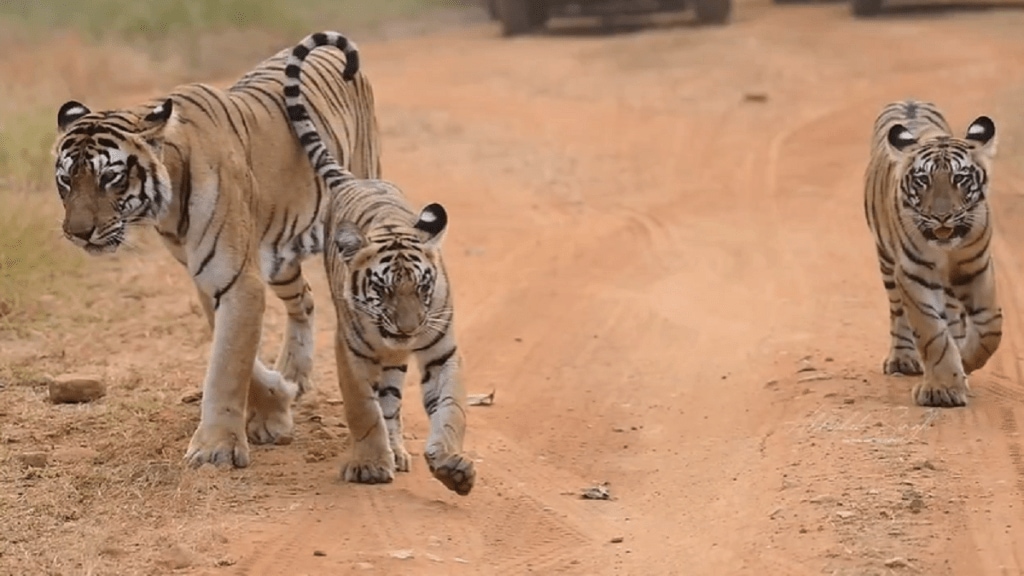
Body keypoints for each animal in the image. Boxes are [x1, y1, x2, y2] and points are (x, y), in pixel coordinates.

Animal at [51, 31, 380, 467]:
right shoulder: (213, 277)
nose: (78, 232)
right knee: (305, 301)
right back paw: (295, 373)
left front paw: (216, 448)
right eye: (65, 181)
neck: (167, 206)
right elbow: (241, 359)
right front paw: (275, 403)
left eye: (110, 177)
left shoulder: (236, 279)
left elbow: (227, 365)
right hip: (280, 256)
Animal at [284, 38, 475, 494]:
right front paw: (371, 465)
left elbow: (451, 409)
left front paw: (452, 466)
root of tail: (356, 179)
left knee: (391, 399)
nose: (408, 329)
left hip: (396, 358)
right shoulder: (349, 350)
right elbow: (362, 409)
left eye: (422, 288)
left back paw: (401, 451)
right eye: (383, 290)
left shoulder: (443, 351)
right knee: (381, 402)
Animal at [864, 98, 999, 405]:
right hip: (887, 263)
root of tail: (908, 100)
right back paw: (903, 358)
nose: (941, 217)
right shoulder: (914, 275)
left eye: (960, 178)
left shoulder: (977, 267)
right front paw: (943, 389)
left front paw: (965, 360)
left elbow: (990, 328)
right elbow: (931, 332)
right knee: (899, 313)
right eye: (922, 180)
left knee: (954, 316)